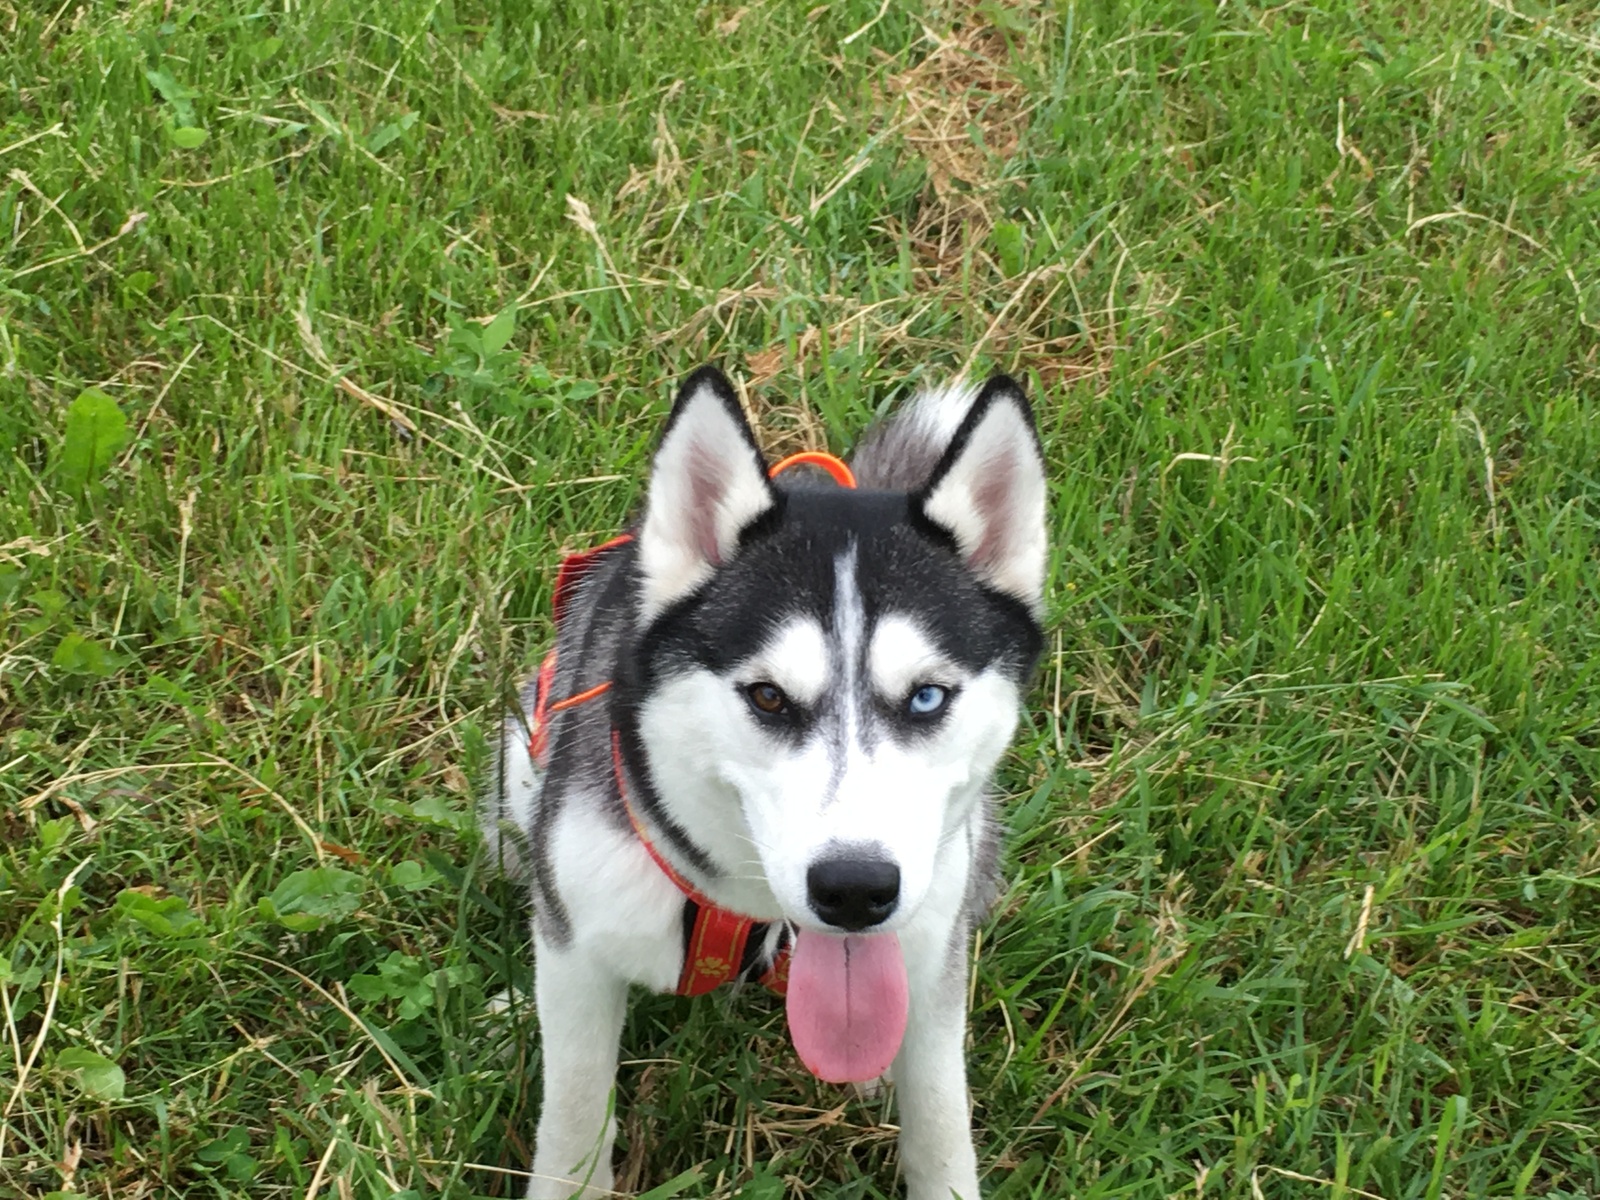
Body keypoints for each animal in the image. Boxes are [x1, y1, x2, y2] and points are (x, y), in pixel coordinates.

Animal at [486, 369, 1049, 1200]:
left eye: (926, 697)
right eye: (769, 697)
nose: (855, 890)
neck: (752, 910)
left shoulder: (931, 948)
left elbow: (942, 1123)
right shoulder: (580, 947)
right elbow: (577, 1116)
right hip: (521, 764)